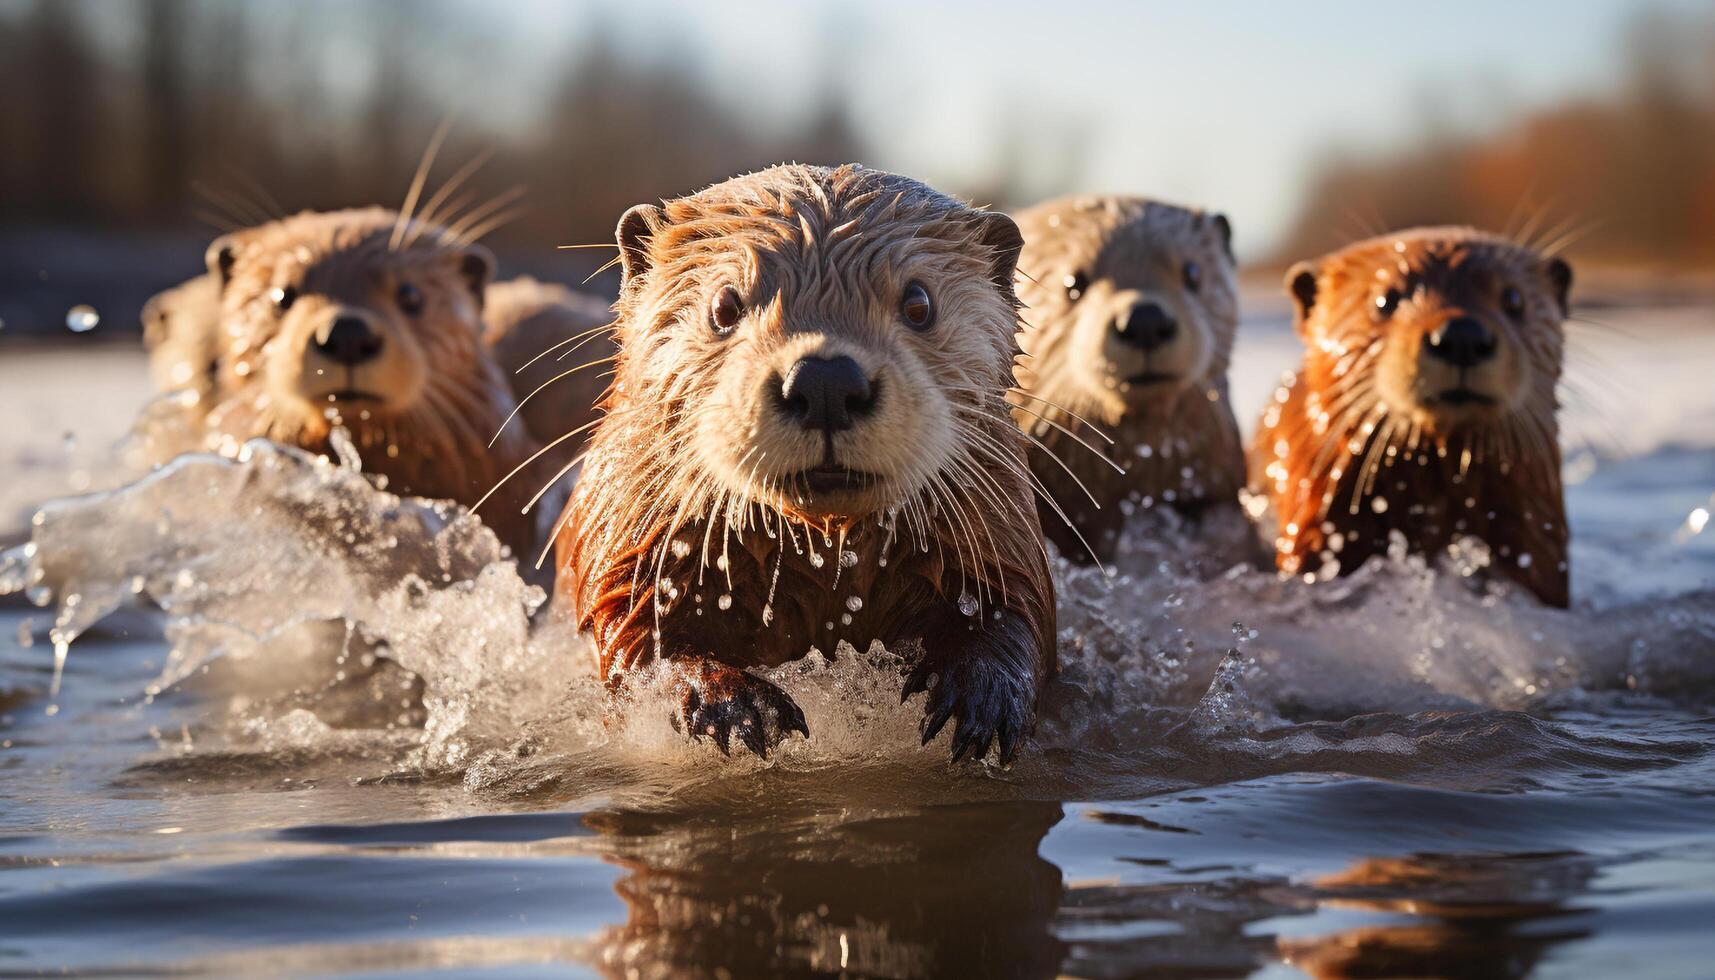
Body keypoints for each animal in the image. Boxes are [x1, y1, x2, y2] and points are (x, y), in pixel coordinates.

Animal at [555, 164, 1049, 762]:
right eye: (724, 305)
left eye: (919, 303)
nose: (825, 380)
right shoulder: (628, 526)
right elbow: (635, 641)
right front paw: (734, 706)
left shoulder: (1003, 522)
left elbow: (1014, 607)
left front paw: (982, 695)